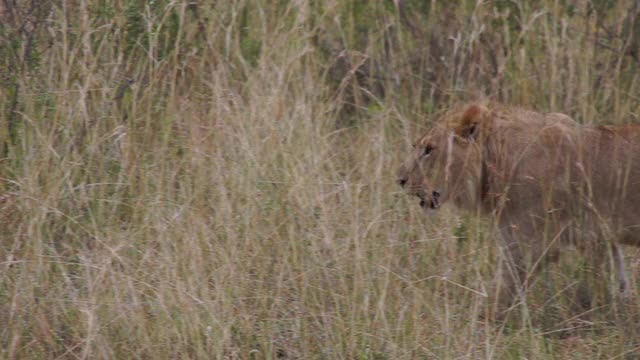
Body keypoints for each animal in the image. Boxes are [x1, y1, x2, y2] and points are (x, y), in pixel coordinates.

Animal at [396, 101, 640, 312]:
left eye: (429, 150)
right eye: (417, 147)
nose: (399, 179)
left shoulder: (529, 243)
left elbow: (504, 288)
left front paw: (481, 321)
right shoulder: (600, 236)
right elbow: (616, 281)